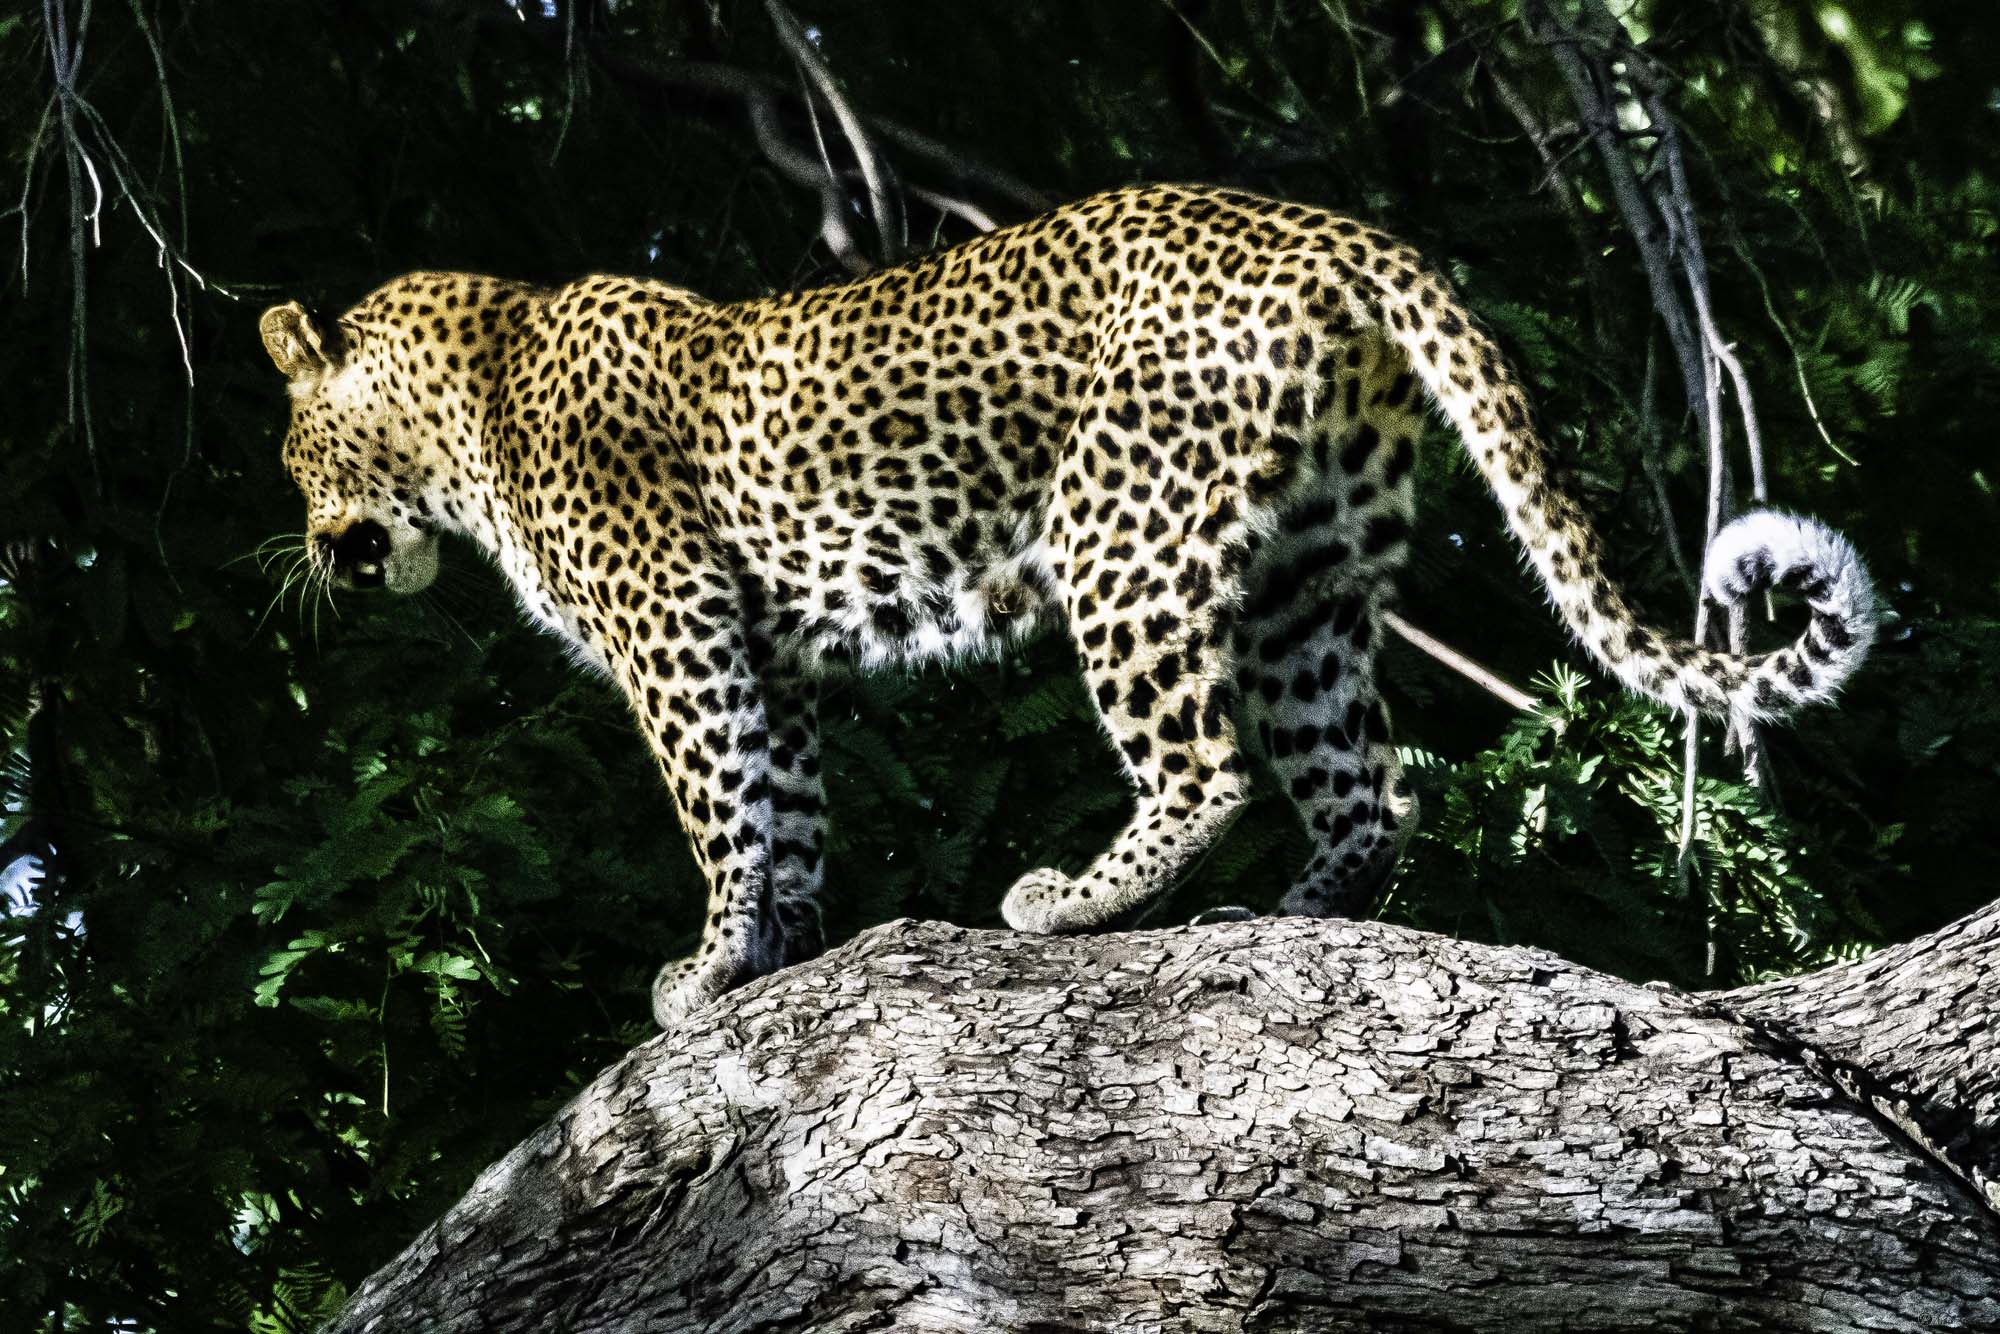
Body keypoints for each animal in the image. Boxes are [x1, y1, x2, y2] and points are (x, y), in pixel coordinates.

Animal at [260, 183, 1876, 1029]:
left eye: (289, 456)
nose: (310, 549)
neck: (465, 406)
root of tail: (1331, 230)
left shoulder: (678, 637)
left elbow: (720, 809)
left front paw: (709, 963)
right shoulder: (770, 662)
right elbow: (788, 811)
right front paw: (777, 947)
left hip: (1126, 538)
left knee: (1207, 765)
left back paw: (1071, 901)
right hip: (1304, 581)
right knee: (1368, 789)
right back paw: (1285, 917)